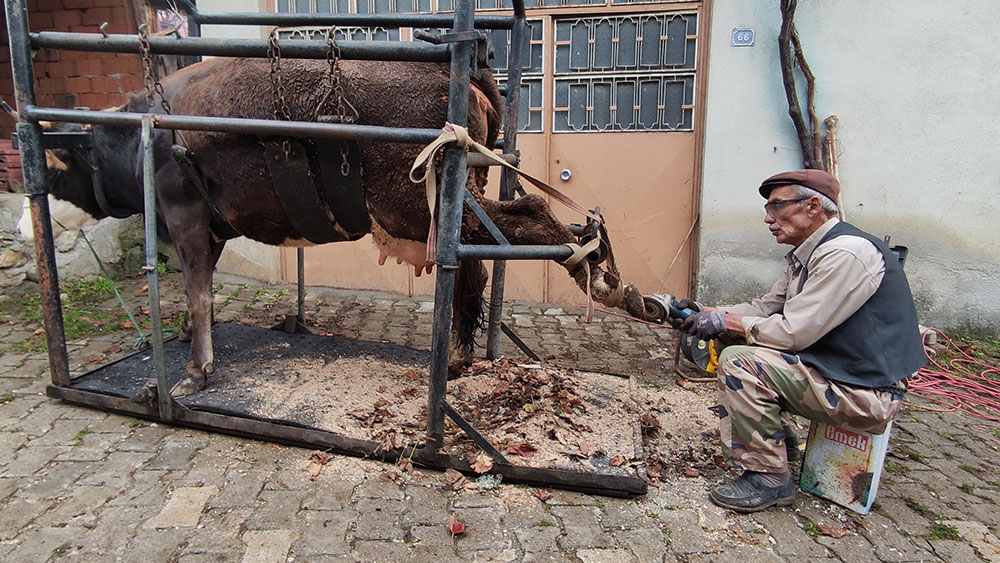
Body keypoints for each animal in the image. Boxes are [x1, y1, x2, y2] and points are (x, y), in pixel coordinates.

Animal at [29, 57, 648, 398]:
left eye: (61, 168)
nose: (25, 219)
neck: (146, 132)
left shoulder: (183, 211)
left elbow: (200, 292)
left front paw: (194, 373)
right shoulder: (210, 225)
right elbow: (194, 289)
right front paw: (183, 337)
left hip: (422, 204)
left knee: (532, 218)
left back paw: (599, 274)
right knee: (495, 246)